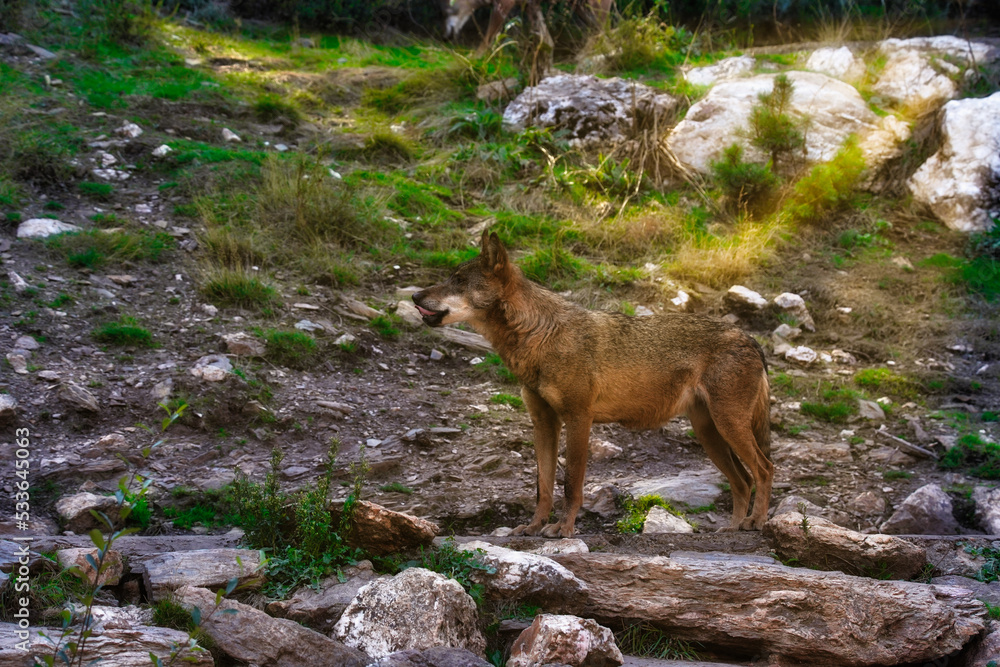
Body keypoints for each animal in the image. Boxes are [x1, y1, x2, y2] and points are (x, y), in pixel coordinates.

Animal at [413, 231, 773, 537]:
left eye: (459, 281)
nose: (415, 294)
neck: (540, 336)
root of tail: (751, 340)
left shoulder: (578, 418)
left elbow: (571, 482)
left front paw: (563, 529)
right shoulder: (543, 423)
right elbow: (543, 486)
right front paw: (532, 527)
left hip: (728, 426)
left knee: (764, 469)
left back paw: (755, 522)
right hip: (709, 433)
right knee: (743, 480)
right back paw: (732, 528)